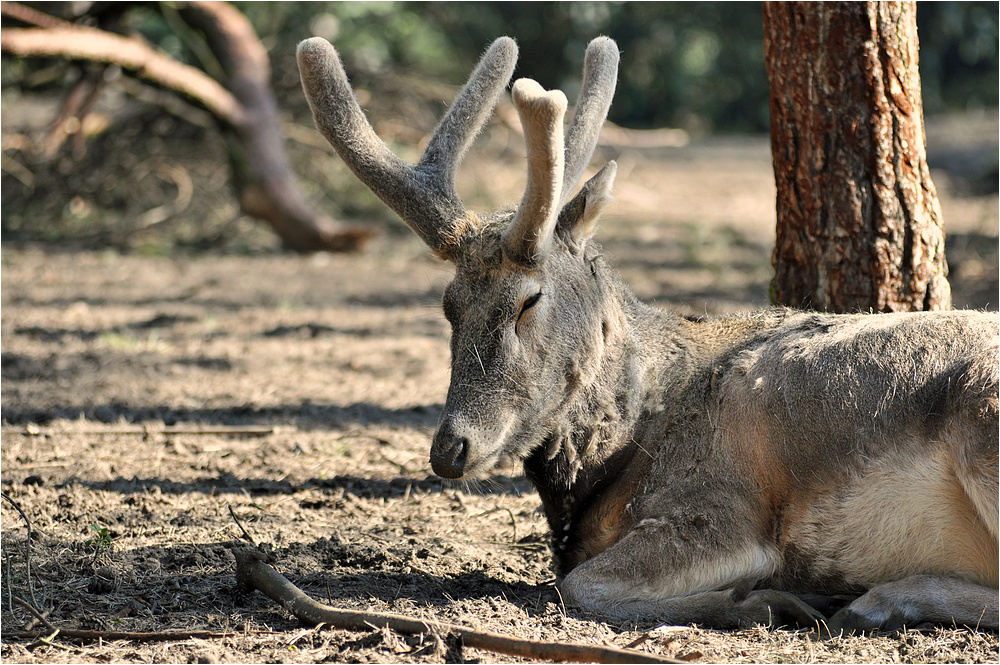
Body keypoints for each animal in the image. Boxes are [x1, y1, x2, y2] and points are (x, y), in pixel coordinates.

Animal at [298, 36, 1000, 632]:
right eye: (448, 305)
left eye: (529, 300)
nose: (450, 449)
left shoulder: (720, 506)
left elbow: (579, 585)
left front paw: (768, 600)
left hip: (983, 420)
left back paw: (872, 599)